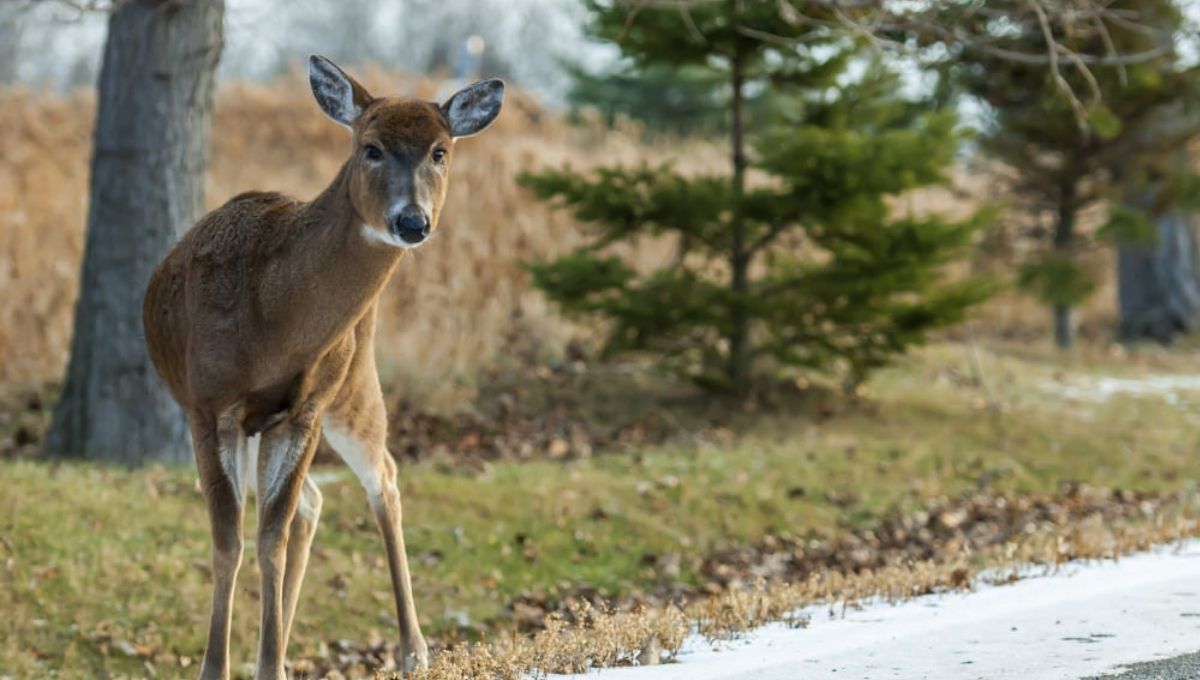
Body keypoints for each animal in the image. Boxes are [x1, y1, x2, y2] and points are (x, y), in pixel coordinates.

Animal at [142, 55, 504, 680]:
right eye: (371, 147)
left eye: (440, 151)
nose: (413, 222)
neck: (271, 322)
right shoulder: (209, 407)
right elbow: (231, 540)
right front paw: (222, 666)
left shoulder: (304, 410)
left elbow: (269, 537)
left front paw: (269, 666)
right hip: (268, 421)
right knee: (312, 503)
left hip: (353, 386)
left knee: (380, 477)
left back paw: (413, 650)